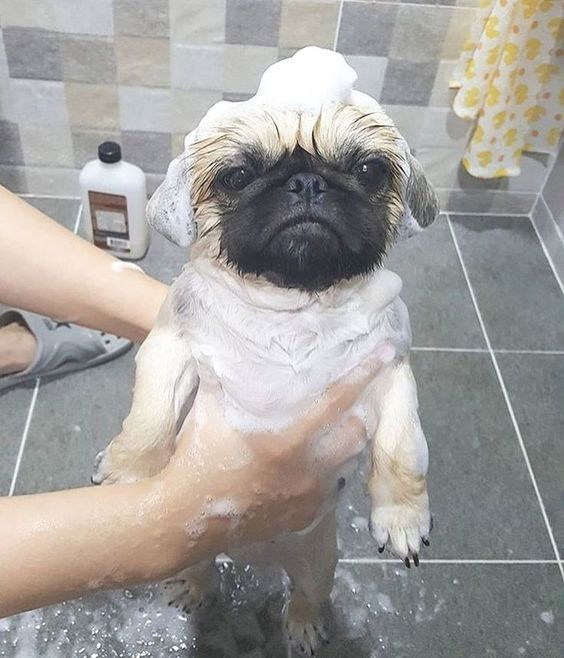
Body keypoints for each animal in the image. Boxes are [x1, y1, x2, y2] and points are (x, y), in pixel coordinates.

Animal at [93, 48, 436, 652]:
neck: (293, 304)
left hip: (319, 562)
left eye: (369, 171)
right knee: (202, 565)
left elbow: (401, 450)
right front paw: (128, 472)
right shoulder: (172, 349)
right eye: (238, 176)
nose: (306, 181)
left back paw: (301, 625)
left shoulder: (389, 373)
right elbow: (150, 419)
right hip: (191, 544)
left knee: (306, 592)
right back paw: (195, 587)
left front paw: (402, 517)